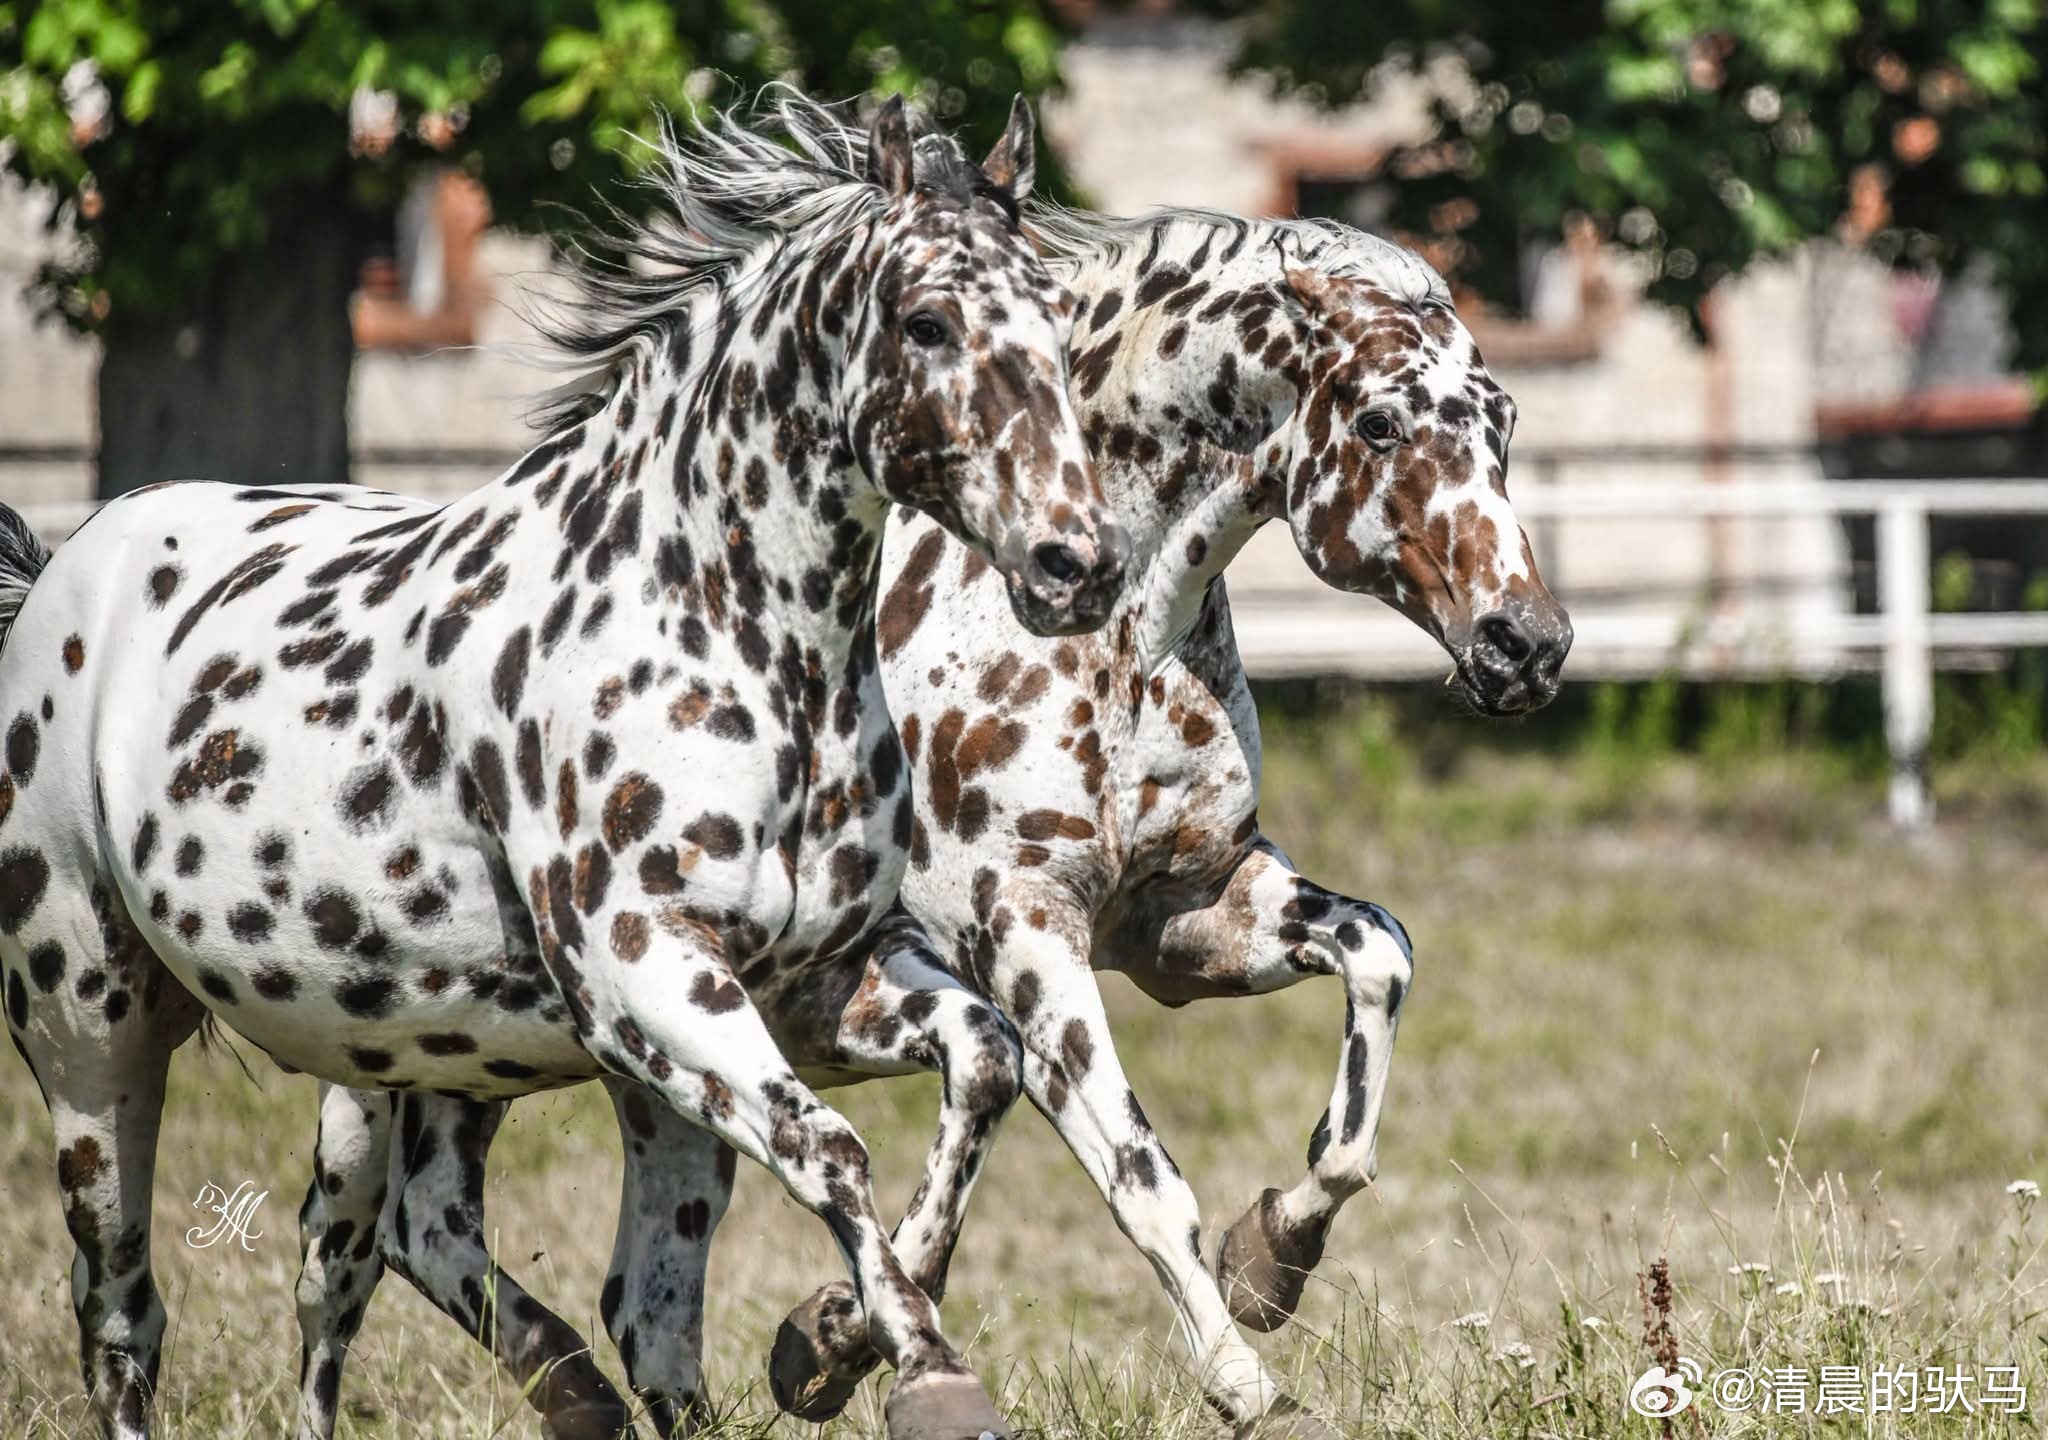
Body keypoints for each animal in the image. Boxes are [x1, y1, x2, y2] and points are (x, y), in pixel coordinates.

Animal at [0, 91, 1129, 1440]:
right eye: (925, 320)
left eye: (1058, 320)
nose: (1076, 564)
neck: (718, 630)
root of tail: (61, 573)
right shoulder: (647, 975)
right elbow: (829, 1149)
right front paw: (920, 1370)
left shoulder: (807, 984)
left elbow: (981, 1066)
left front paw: (826, 1343)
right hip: (92, 1037)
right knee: (130, 1311)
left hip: (423, 1058)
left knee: (418, 1256)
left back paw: (573, 1386)